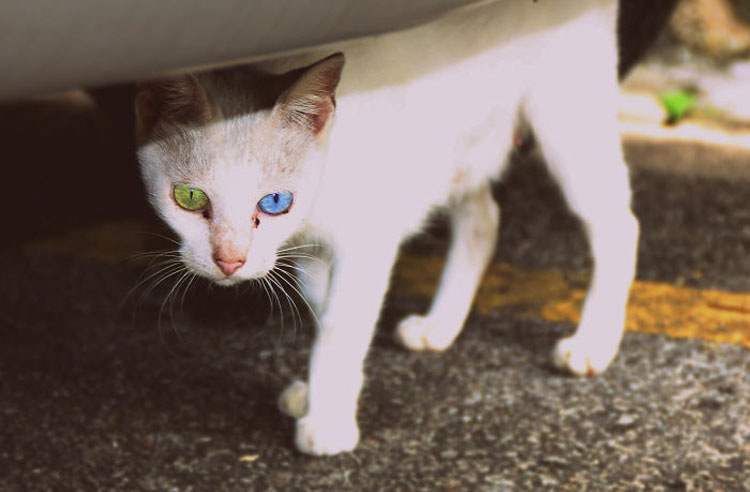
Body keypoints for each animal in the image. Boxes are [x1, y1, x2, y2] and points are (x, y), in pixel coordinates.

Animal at [135, 0, 640, 456]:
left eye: (274, 202)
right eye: (190, 198)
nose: (230, 261)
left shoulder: (366, 241)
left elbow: (342, 325)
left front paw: (329, 422)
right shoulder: (308, 250)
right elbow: (322, 309)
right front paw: (321, 397)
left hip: (567, 120)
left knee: (619, 224)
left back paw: (594, 343)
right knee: (484, 219)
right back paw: (440, 326)